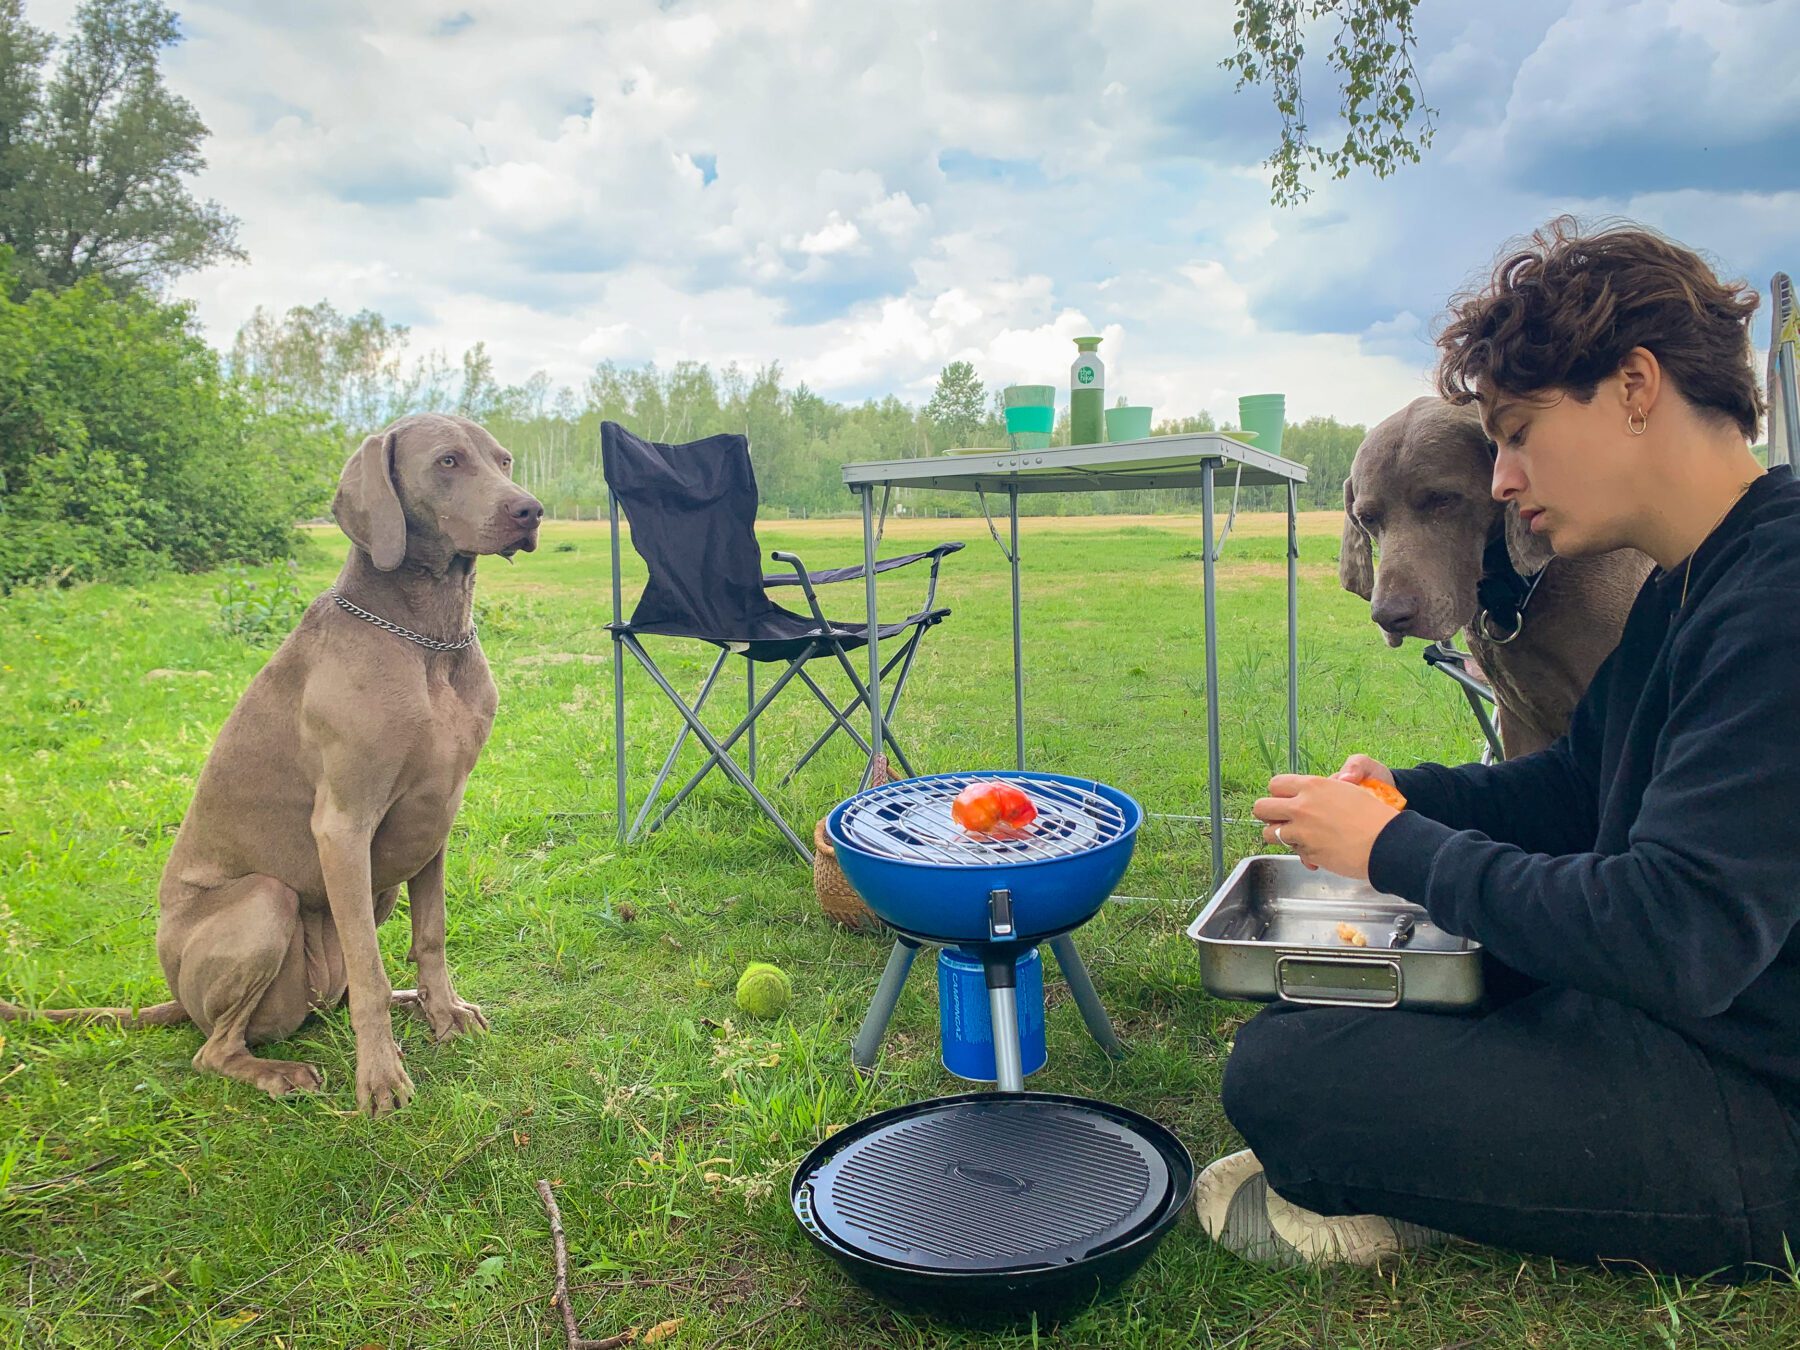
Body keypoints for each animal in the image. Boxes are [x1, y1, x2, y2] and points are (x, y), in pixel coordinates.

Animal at [3, 412, 543, 1123]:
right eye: (448, 461)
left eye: (503, 459)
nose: (530, 510)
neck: (427, 639)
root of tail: (178, 1002)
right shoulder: (343, 825)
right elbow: (370, 970)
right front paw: (381, 1077)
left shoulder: (436, 821)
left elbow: (431, 935)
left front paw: (443, 1012)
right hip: (266, 901)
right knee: (217, 1048)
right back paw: (278, 1072)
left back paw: (404, 1006)